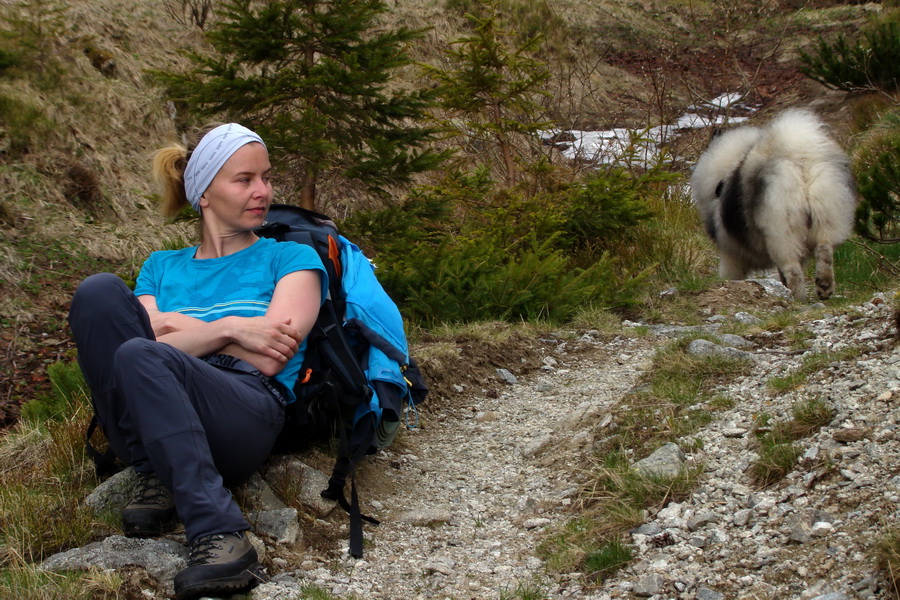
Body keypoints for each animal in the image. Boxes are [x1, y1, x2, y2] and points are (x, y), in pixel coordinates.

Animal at [692, 109, 856, 300]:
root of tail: (798, 162)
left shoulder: (730, 252)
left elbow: (731, 274)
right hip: (826, 215)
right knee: (824, 250)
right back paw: (824, 286)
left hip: (782, 231)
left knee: (793, 270)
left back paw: (798, 298)